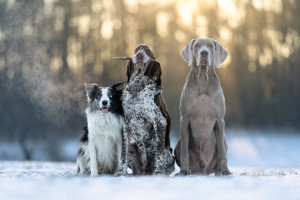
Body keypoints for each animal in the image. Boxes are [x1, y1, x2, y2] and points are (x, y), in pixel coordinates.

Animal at [116, 44, 175, 175]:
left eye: (147, 51)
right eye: (136, 50)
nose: (139, 55)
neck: (138, 87)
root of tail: (145, 171)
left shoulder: (160, 122)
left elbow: (159, 153)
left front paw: (159, 171)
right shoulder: (125, 124)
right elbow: (123, 154)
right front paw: (121, 172)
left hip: (169, 153)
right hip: (133, 149)